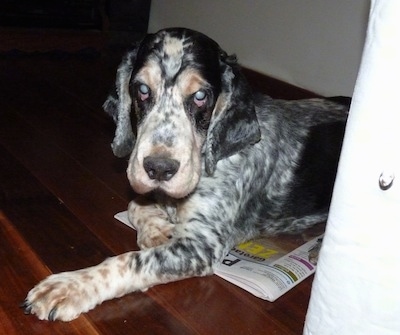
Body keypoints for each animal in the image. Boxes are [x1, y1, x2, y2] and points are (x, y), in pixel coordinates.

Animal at [21, 27, 348, 322]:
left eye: (201, 96)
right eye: (142, 89)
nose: (159, 168)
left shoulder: (201, 245)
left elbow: (132, 262)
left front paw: (70, 287)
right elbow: (135, 205)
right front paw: (158, 233)